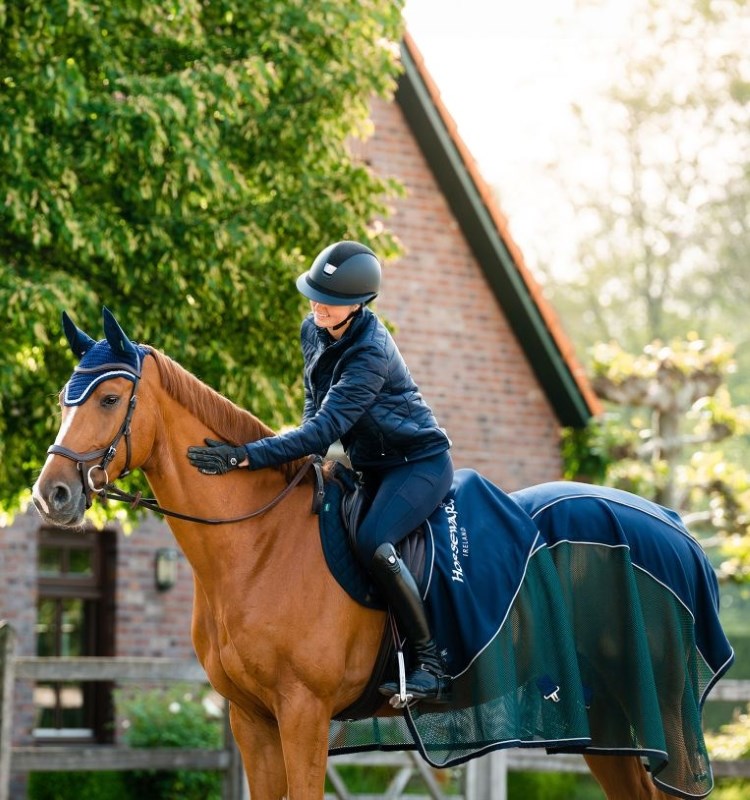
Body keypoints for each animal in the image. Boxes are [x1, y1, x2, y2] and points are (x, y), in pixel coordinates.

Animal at [32, 310, 732, 796]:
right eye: (65, 397)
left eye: (109, 399)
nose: (52, 495)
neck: (257, 548)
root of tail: (671, 525)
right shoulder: (252, 720)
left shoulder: (304, 714)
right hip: (609, 725)